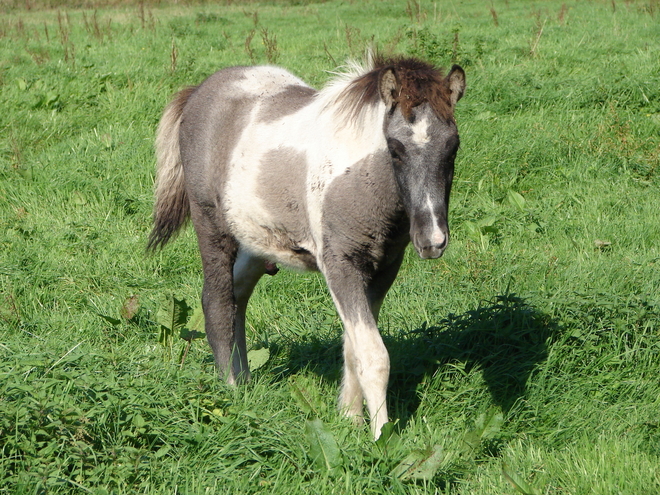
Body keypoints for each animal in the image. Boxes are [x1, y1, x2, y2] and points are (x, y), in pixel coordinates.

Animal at [148, 56, 470, 440]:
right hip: (210, 225)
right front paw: (382, 436)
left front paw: (349, 418)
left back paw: (245, 381)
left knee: (238, 294)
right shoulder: (340, 264)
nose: (432, 241)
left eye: (453, 147)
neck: (359, 176)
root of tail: (200, 90)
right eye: (395, 148)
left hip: (258, 241)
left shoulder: (384, 268)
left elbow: (353, 346)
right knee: (217, 302)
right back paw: (230, 390)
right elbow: (374, 355)